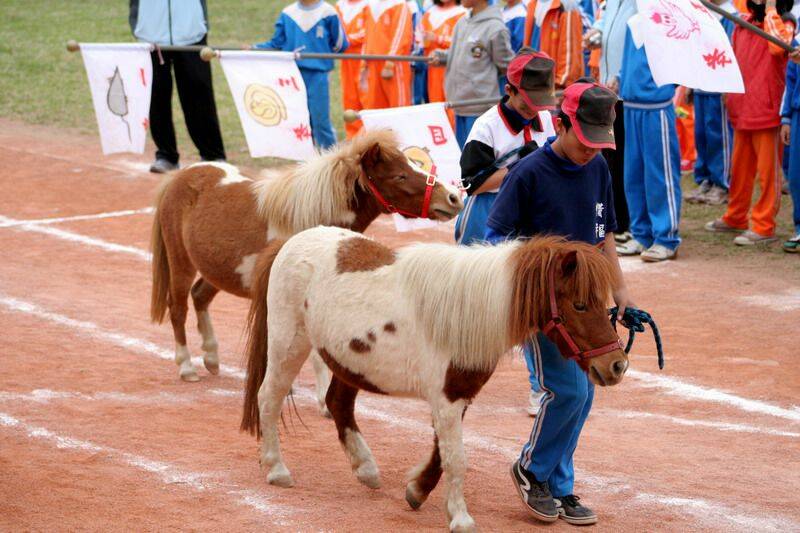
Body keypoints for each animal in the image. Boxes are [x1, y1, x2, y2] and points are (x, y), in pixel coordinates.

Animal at [150, 128, 462, 400]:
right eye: (400, 175)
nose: (454, 197)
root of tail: (180, 176)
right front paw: (322, 400)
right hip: (180, 261)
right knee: (177, 307)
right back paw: (187, 367)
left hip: (217, 271)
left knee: (200, 296)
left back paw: (212, 358)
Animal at [241, 225, 628, 532]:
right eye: (579, 304)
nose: (617, 365)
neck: (469, 310)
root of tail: (290, 242)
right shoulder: (447, 399)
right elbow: (456, 459)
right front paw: (460, 518)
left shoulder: (457, 397)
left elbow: (442, 454)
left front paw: (416, 492)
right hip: (289, 346)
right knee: (269, 398)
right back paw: (276, 469)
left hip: (347, 363)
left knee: (338, 404)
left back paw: (365, 469)